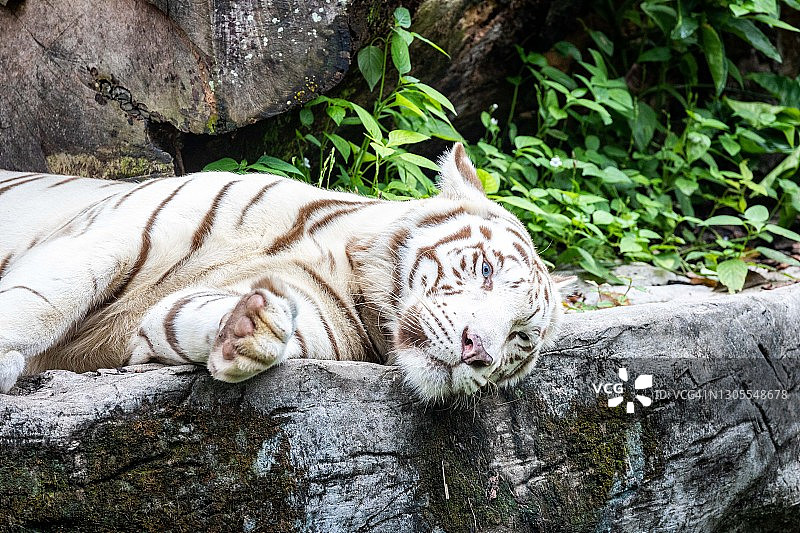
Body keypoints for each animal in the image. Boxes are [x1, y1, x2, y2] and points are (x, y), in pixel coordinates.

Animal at [0, 143, 568, 401]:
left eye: (520, 338)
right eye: (487, 269)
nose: (479, 353)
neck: (349, 265)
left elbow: (186, 317)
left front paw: (252, 331)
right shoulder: (118, 235)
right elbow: (39, 302)